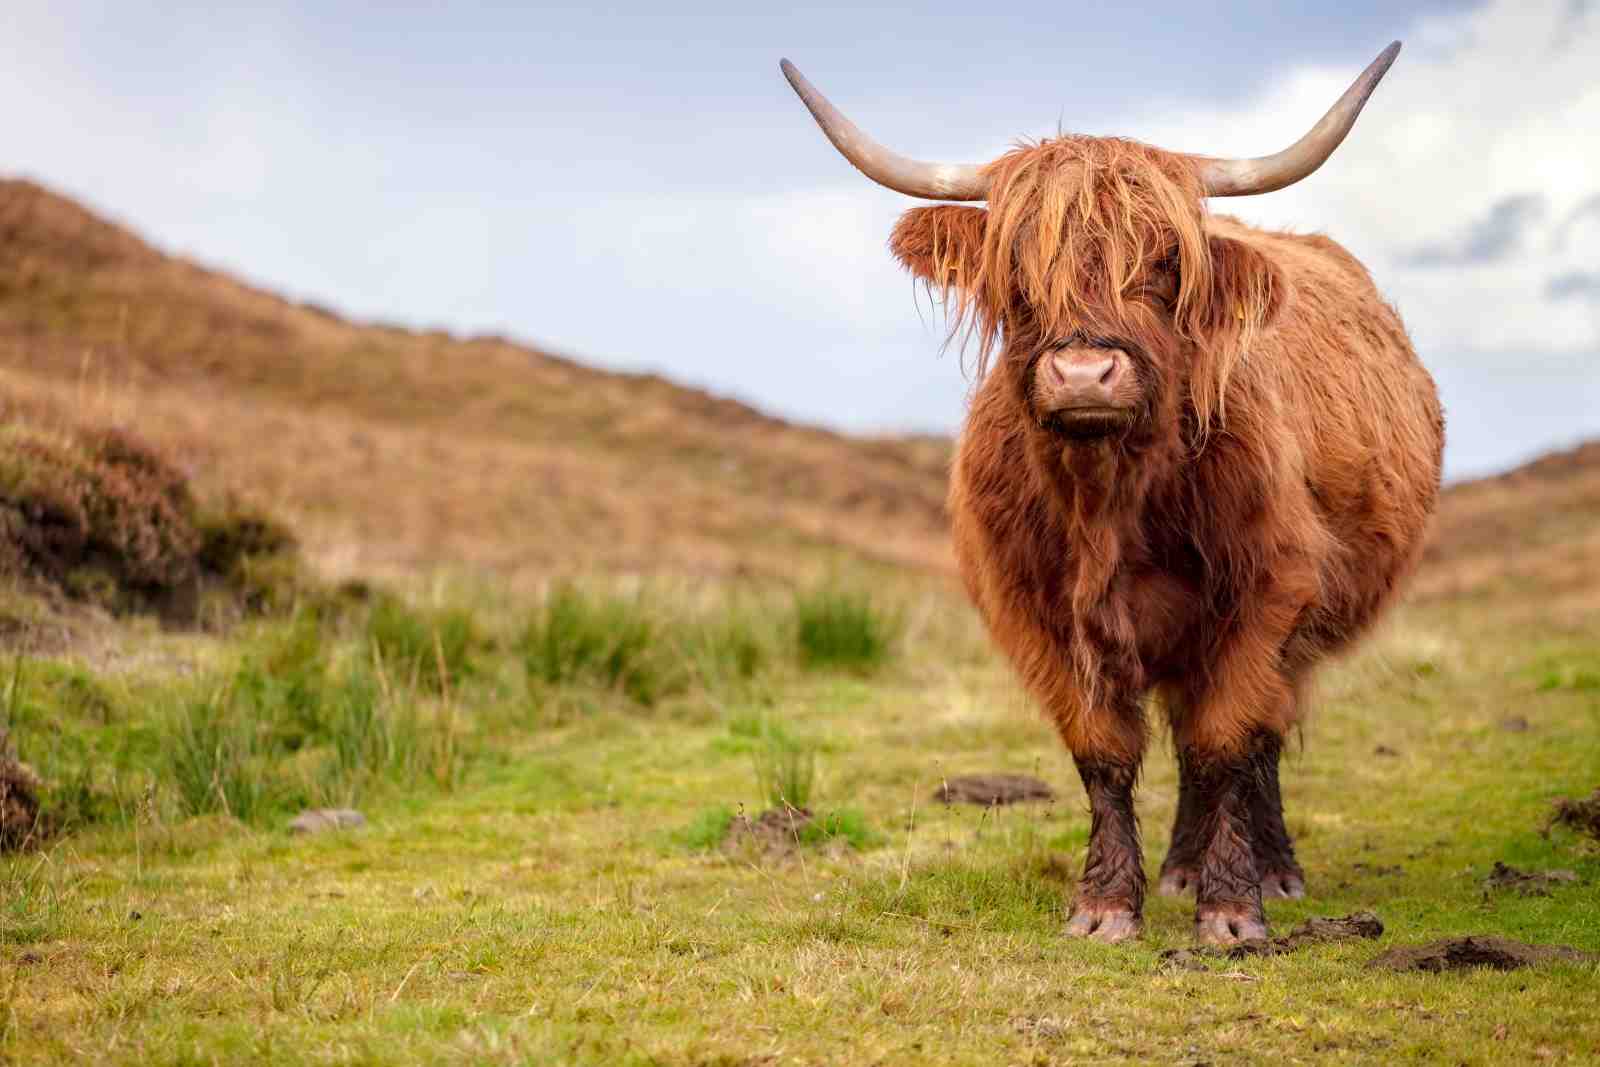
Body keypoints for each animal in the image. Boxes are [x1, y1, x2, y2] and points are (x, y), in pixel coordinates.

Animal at [780, 43, 1443, 945]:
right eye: (1017, 268)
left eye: (1164, 263)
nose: (1085, 373)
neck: (1110, 502)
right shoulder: (1038, 613)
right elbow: (1104, 751)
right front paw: (1104, 905)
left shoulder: (1267, 594)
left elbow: (1227, 739)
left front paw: (1232, 910)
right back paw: (1178, 867)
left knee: (1256, 739)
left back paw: (1270, 868)